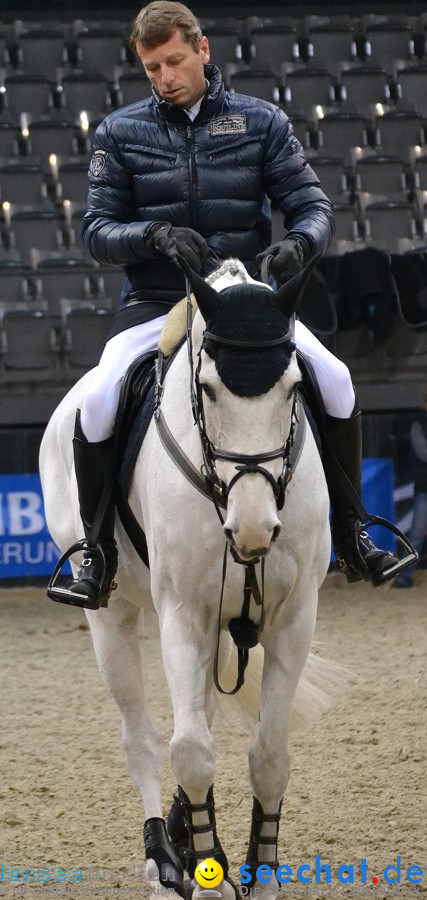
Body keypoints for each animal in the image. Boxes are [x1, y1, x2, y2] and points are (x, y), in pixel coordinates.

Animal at [41, 258, 340, 900]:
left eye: (292, 389)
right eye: (207, 389)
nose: (252, 530)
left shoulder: (292, 618)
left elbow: (268, 755)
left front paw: (259, 876)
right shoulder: (181, 614)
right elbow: (192, 751)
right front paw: (206, 880)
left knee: (197, 711)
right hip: (113, 615)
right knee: (143, 739)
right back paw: (164, 857)